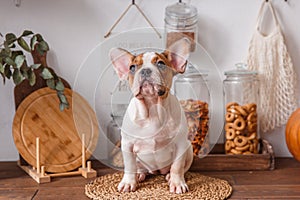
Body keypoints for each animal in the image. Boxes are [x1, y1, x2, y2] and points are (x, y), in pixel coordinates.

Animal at [109, 38, 192, 194]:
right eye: (132, 67)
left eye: (161, 63)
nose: (145, 70)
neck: (152, 109)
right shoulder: (127, 145)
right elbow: (129, 165)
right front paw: (128, 182)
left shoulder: (181, 145)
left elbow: (177, 166)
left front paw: (177, 183)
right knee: (139, 167)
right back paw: (139, 175)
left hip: (188, 148)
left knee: (181, 168)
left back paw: (170, 177)